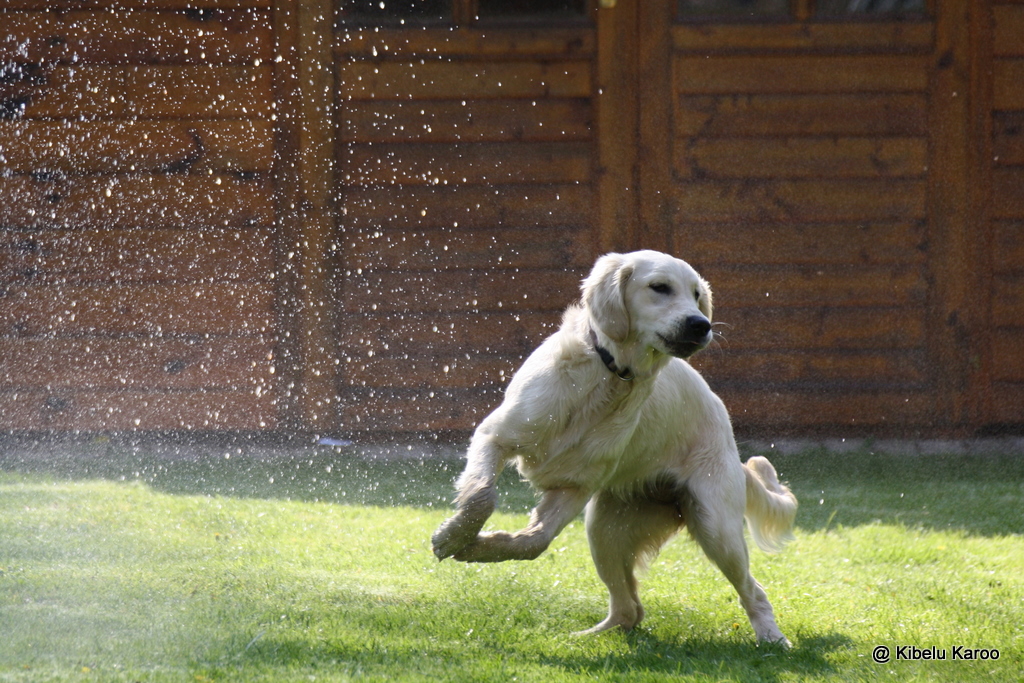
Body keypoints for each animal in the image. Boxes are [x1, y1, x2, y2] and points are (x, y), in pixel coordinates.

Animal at [428, 252, 794, 647]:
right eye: (659, 287)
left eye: (697, 295)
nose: (701, 325)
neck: (609, 373)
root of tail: (732, 448)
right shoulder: (495, 437)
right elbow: (484, 499)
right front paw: (458, 538)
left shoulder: (575, 486)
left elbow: (534, 541)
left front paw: (471, 544)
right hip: (605, 530)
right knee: (629, 610)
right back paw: (586, 637)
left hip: (715, 527)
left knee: (752, 591)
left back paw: (773, 639)